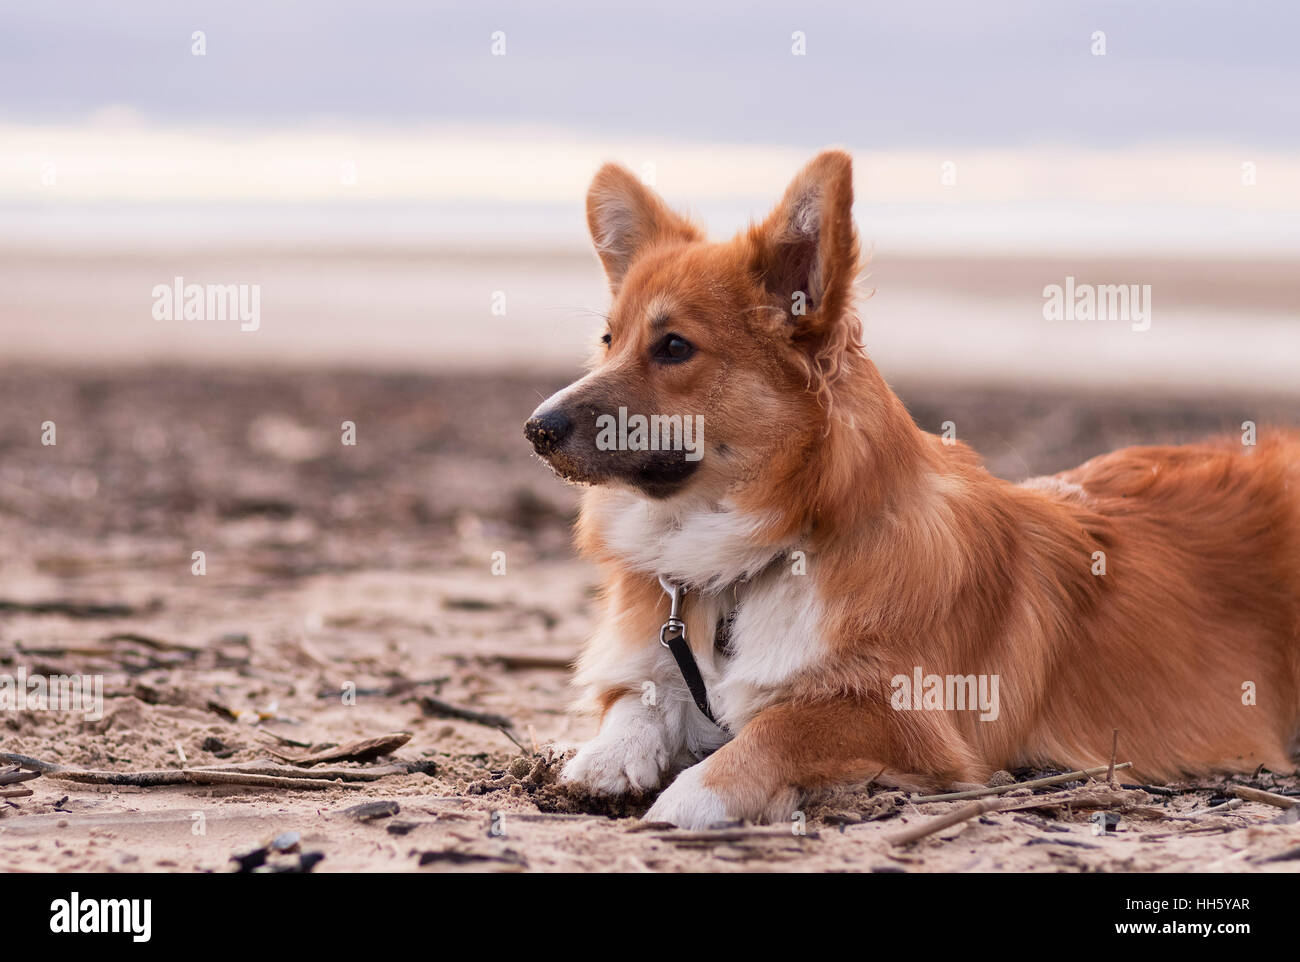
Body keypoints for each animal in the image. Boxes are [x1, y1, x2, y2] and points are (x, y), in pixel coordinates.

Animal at [525, 148, 1300, 826]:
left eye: (675, 347)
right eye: (609, 340)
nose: (536, 428)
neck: (759, 555)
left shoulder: (905, 717)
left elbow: (783, 728)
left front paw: (694, 795)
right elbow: (640, 694)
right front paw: (606, 756)